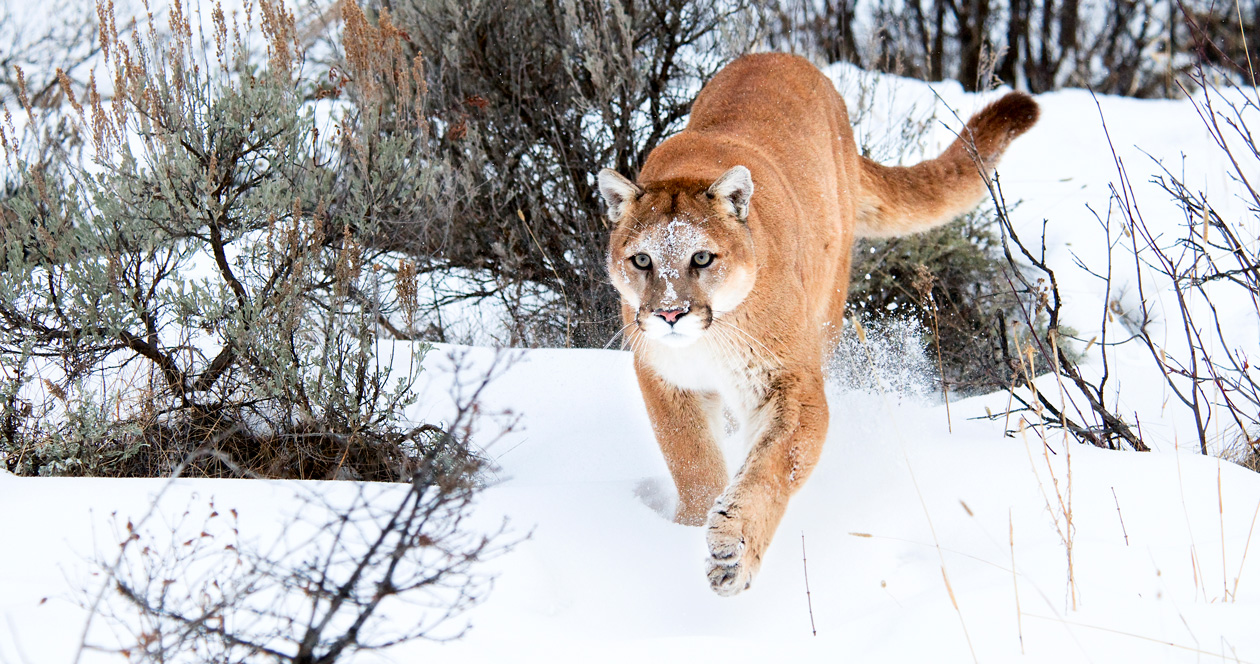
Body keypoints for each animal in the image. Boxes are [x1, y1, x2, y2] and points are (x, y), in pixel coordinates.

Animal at [597, 53, 1038, 596]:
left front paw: (732, 549)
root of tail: (785, 56)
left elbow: (771, 464)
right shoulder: (664, 377)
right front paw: (684, 528)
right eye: (641, 260)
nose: (670, 313)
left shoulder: (790, 381)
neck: (712, 336)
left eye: (701, 257)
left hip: (830, 299)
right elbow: (692, 459)